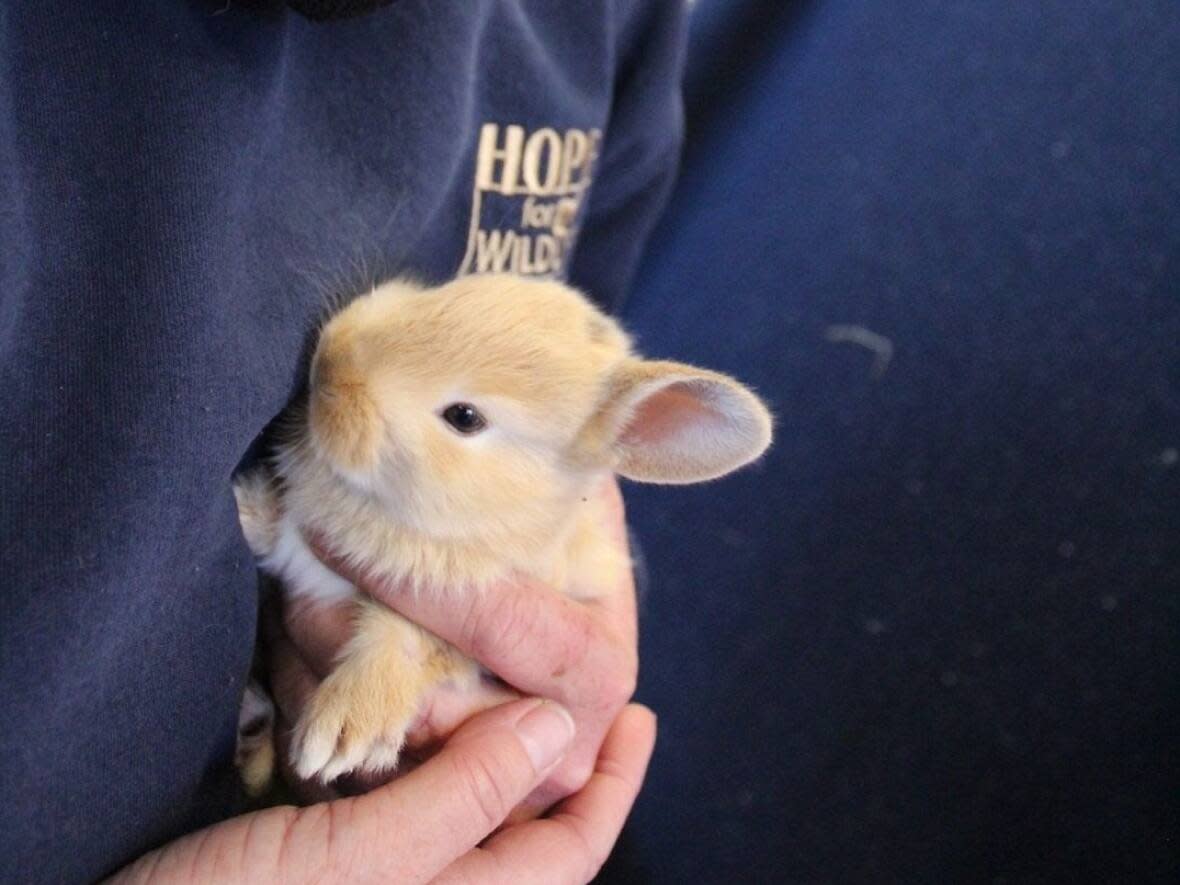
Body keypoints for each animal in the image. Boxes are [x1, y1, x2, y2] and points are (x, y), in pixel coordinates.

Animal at [233, 276, 769, 788]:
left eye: (465, 417)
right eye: (454, 289)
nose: (330, 364)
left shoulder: (450, 624)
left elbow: (401, 642)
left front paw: (346, 729)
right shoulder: (296, 547)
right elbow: (277, 532)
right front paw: (244, 506)